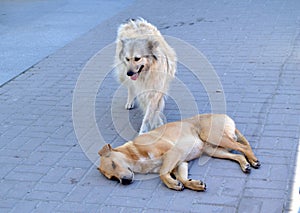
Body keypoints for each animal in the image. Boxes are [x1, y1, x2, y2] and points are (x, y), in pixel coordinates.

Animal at [98, 115, 260, 191]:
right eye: (112, 178)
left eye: (113, 164)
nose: (124, 182)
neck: (134, 153)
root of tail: (225, 116)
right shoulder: (180, 162)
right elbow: (182, 178)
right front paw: (193, 184)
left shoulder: (174, 153)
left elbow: (162, 173)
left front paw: (172, 183)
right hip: (214, 150)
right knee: (238, 154)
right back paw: (245, 164)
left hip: (213, 136)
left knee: (244, 148)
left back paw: (253, 160)